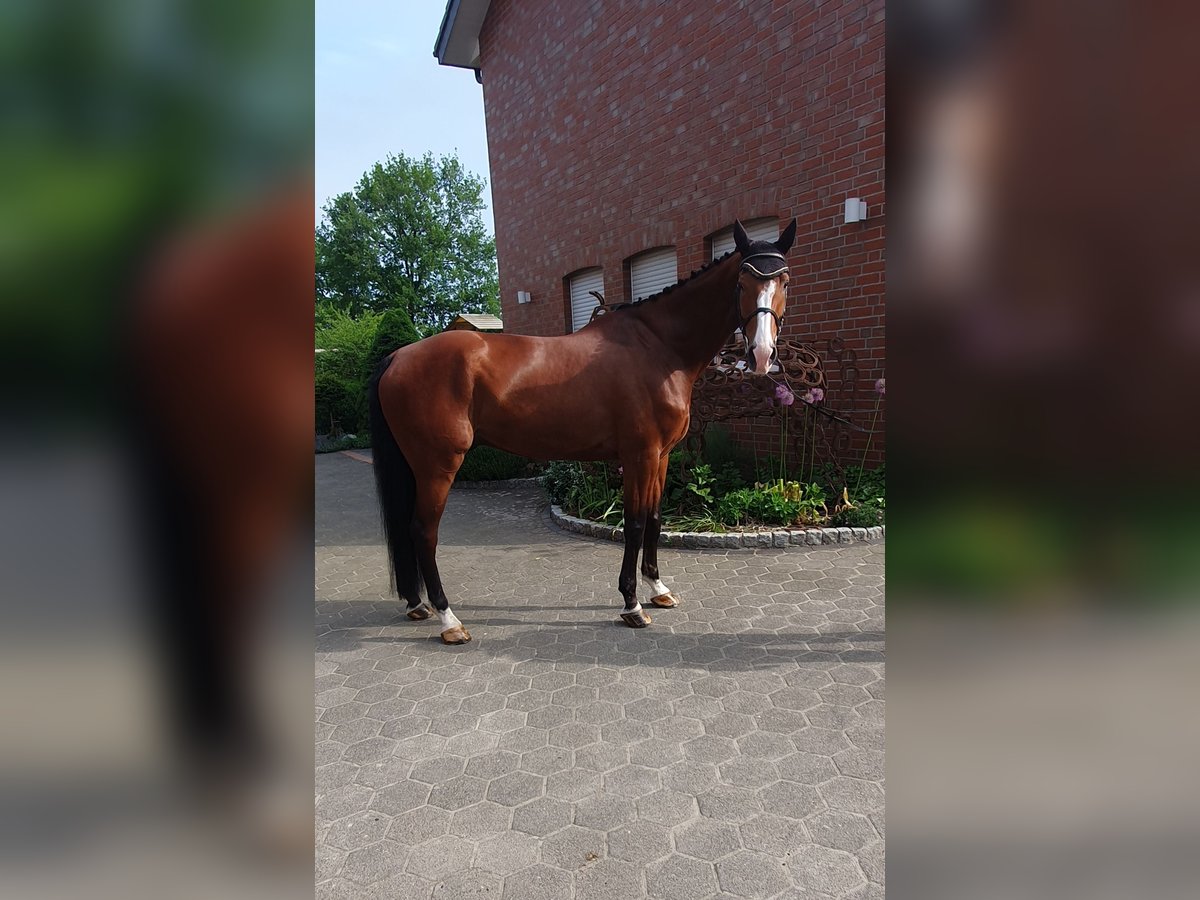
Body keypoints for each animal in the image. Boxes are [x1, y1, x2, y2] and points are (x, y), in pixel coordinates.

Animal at [364, 217, 796, 643]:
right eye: (742, 281)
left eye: (784, 281)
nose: (761, 354)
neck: (658, 348)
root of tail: (398, 356)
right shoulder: (639, 455)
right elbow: (634, 522)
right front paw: (632, 605)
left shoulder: (661, 455)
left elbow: (656, 518)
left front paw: (658, 589)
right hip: (438, 466)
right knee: (423, 532)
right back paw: (449, 620)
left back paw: (418, 604)